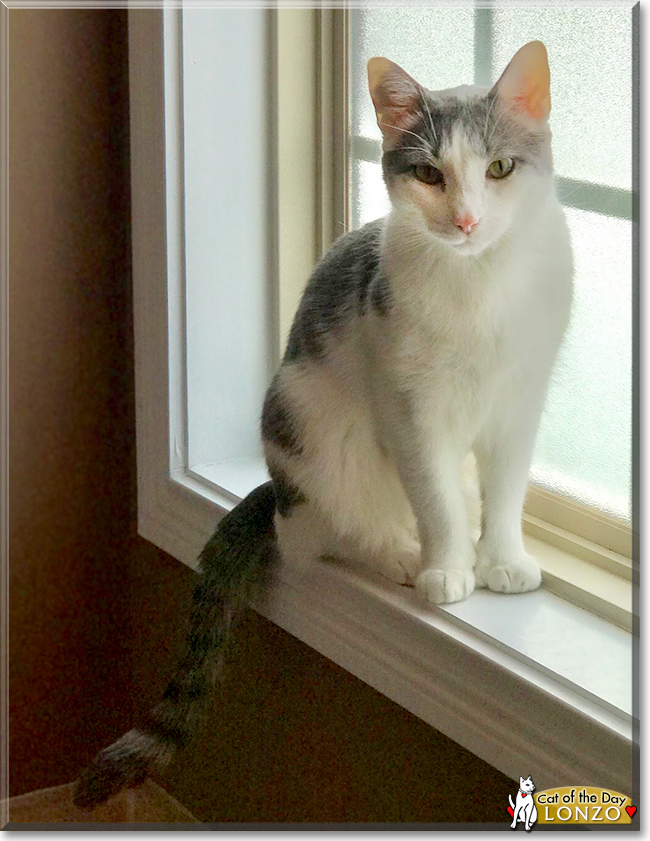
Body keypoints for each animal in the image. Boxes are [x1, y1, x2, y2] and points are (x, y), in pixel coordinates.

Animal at [73, 42, 572, 812]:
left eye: (499, 169)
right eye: (429, 174)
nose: (465, 221)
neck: (478, 282)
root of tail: (275, 491)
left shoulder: (521, 401)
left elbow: (510, 488)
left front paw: (501, 558)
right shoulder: (408, 408)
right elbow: (434, 496)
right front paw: (447, 566)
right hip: (307, 429)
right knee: (319, 535)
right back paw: (396, 553)